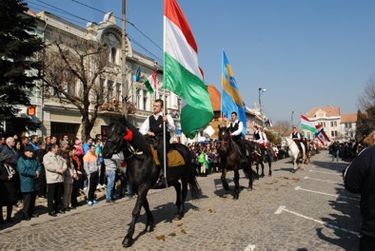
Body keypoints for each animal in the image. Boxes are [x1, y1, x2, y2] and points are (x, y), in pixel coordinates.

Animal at [101, 117, 201, 247]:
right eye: (107, 132)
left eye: (119, 132)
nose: (104, 153)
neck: (140, 158)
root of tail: (185, 148)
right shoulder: (138, 187)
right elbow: (145, 205)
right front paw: (150, 224)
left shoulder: (144, 186)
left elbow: (136, 210)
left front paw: (128, 237)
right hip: (172, 179)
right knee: (177, 187)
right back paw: (177, 205)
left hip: (184, 176)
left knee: (183, 192)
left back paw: (180, 213)